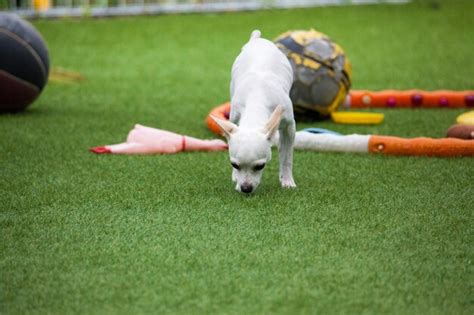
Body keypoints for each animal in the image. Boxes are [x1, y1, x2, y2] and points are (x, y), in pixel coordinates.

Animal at [212, 30, 296, 193]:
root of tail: (257, 40)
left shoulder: (289, 127)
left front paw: (287, 180)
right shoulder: (234, 119)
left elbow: (287, 156)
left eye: (260, 166)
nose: (246, 188)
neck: (257, 97)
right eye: (234, 164)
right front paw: (235, 177)